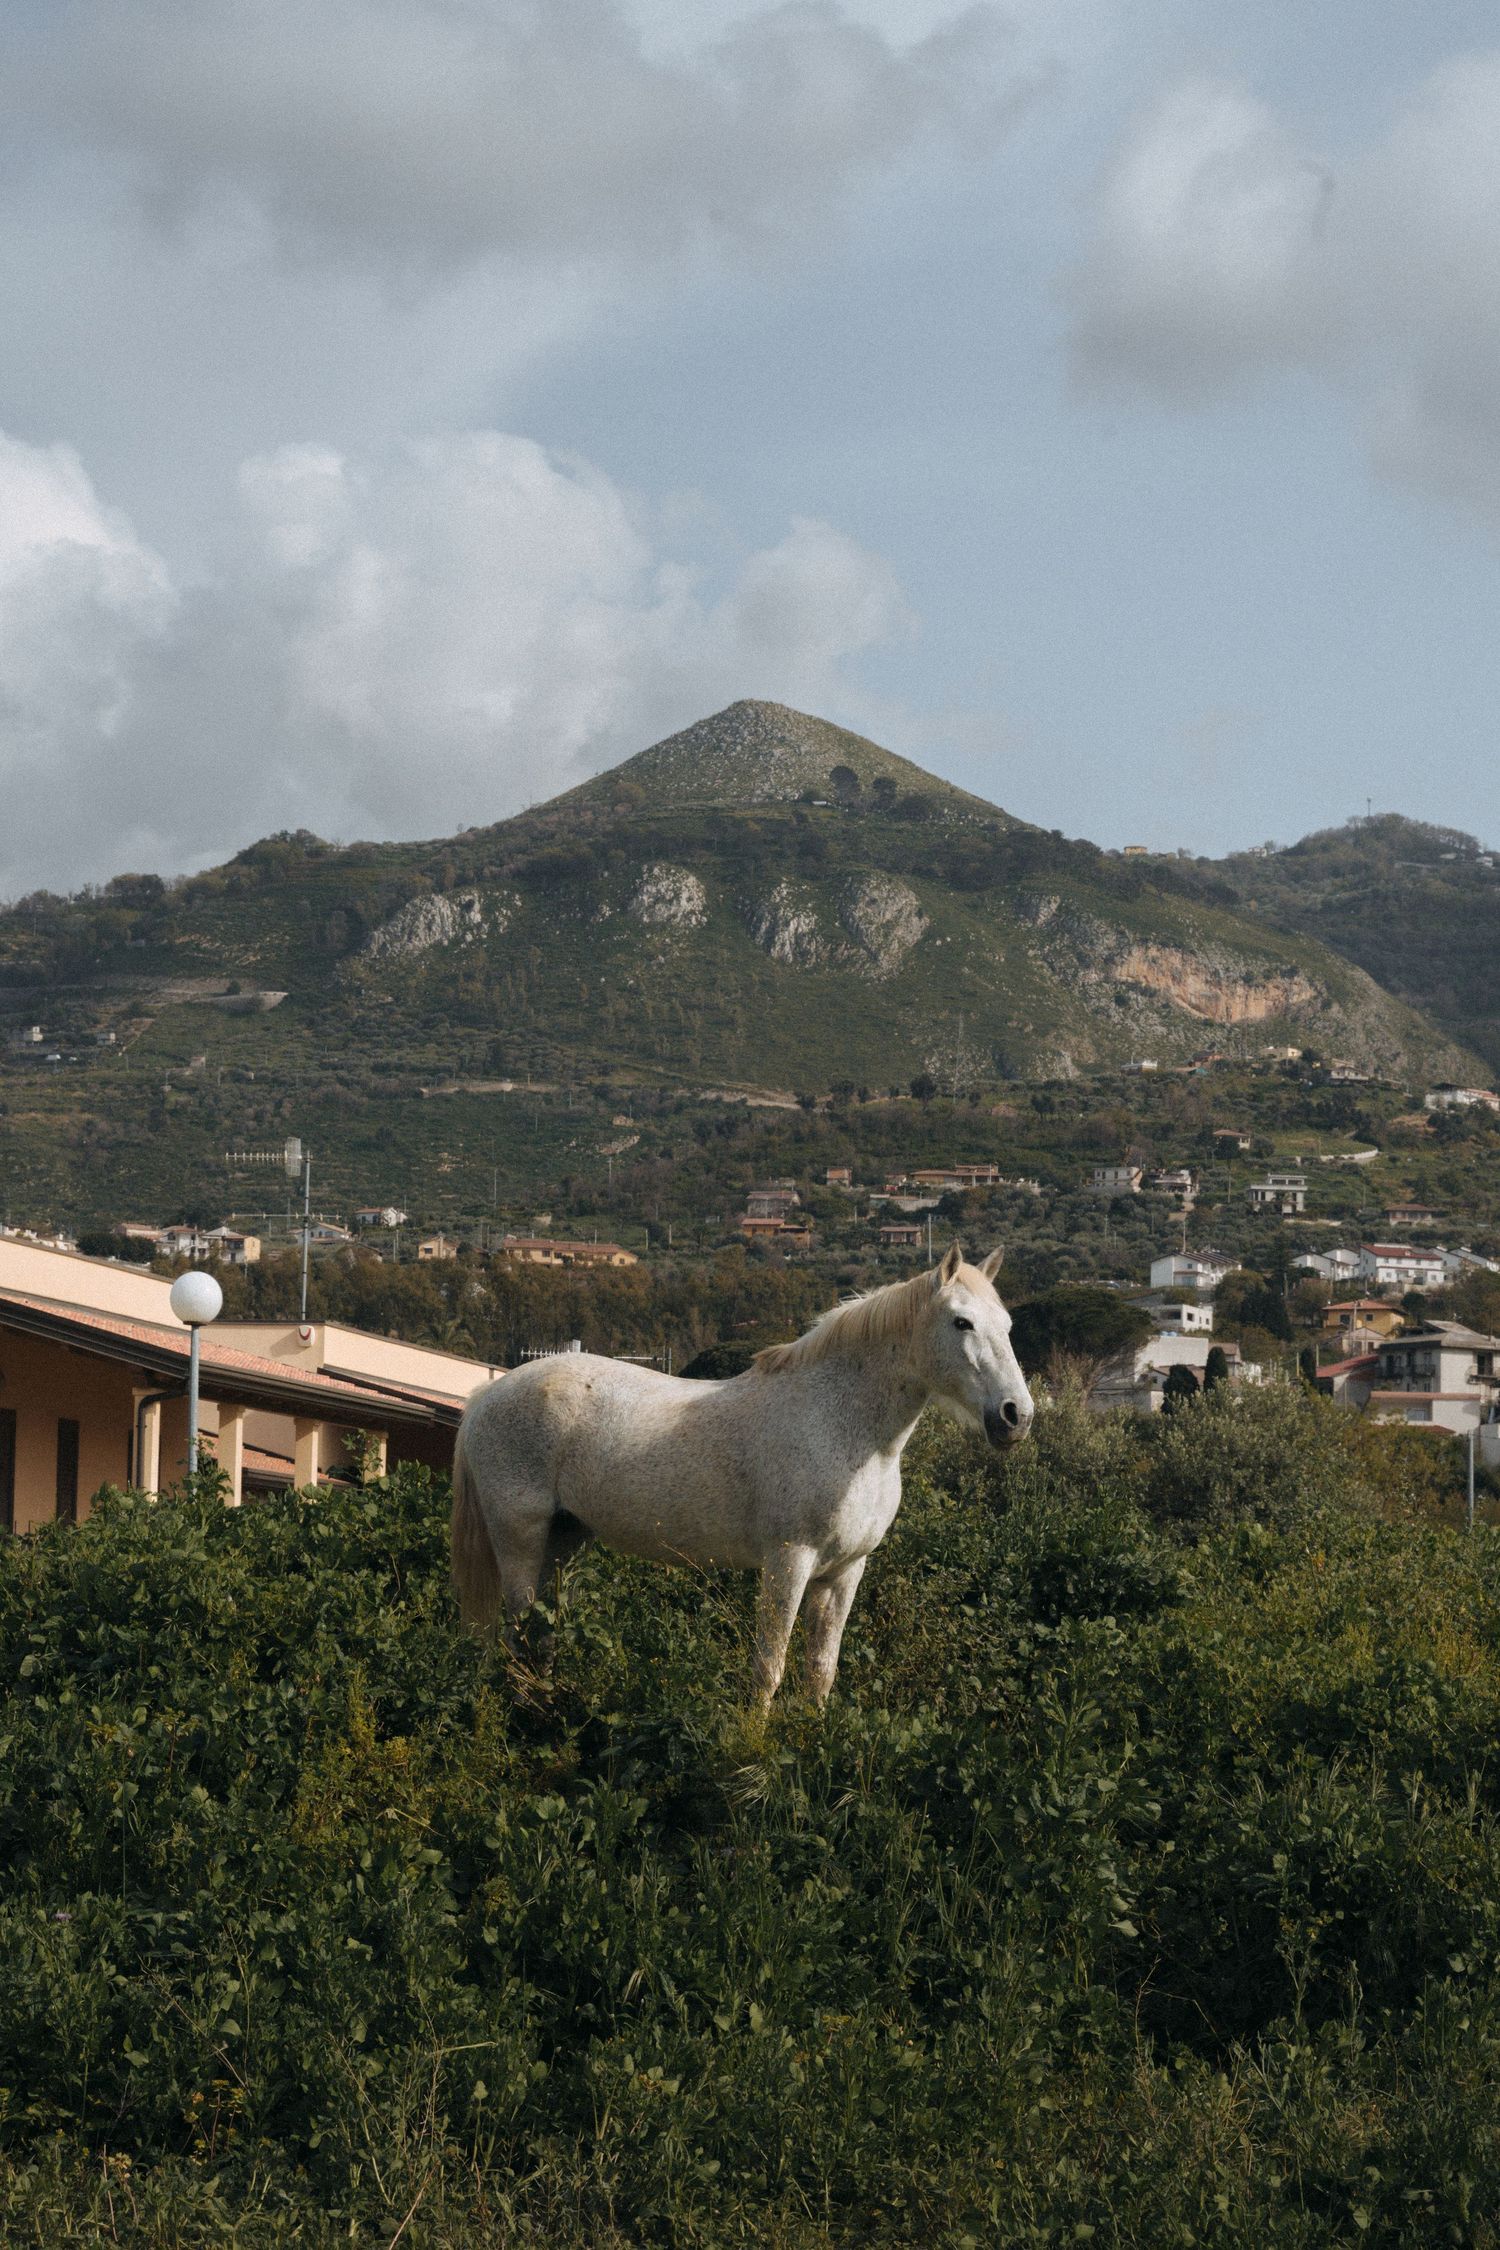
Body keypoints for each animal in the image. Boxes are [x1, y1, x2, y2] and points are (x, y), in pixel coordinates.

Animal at [450, 1244, 1034, 1707]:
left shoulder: (844, 1572)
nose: (1016, 1416)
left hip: (566, 1538)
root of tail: (485, 1396)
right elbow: (769, 1669)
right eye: (961, 1322)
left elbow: (820, 1672)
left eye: (1008, 1326)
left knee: (543, 1631)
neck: (846, 1428)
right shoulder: (788, 1563)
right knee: (519, 1631)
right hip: (520, 1538)